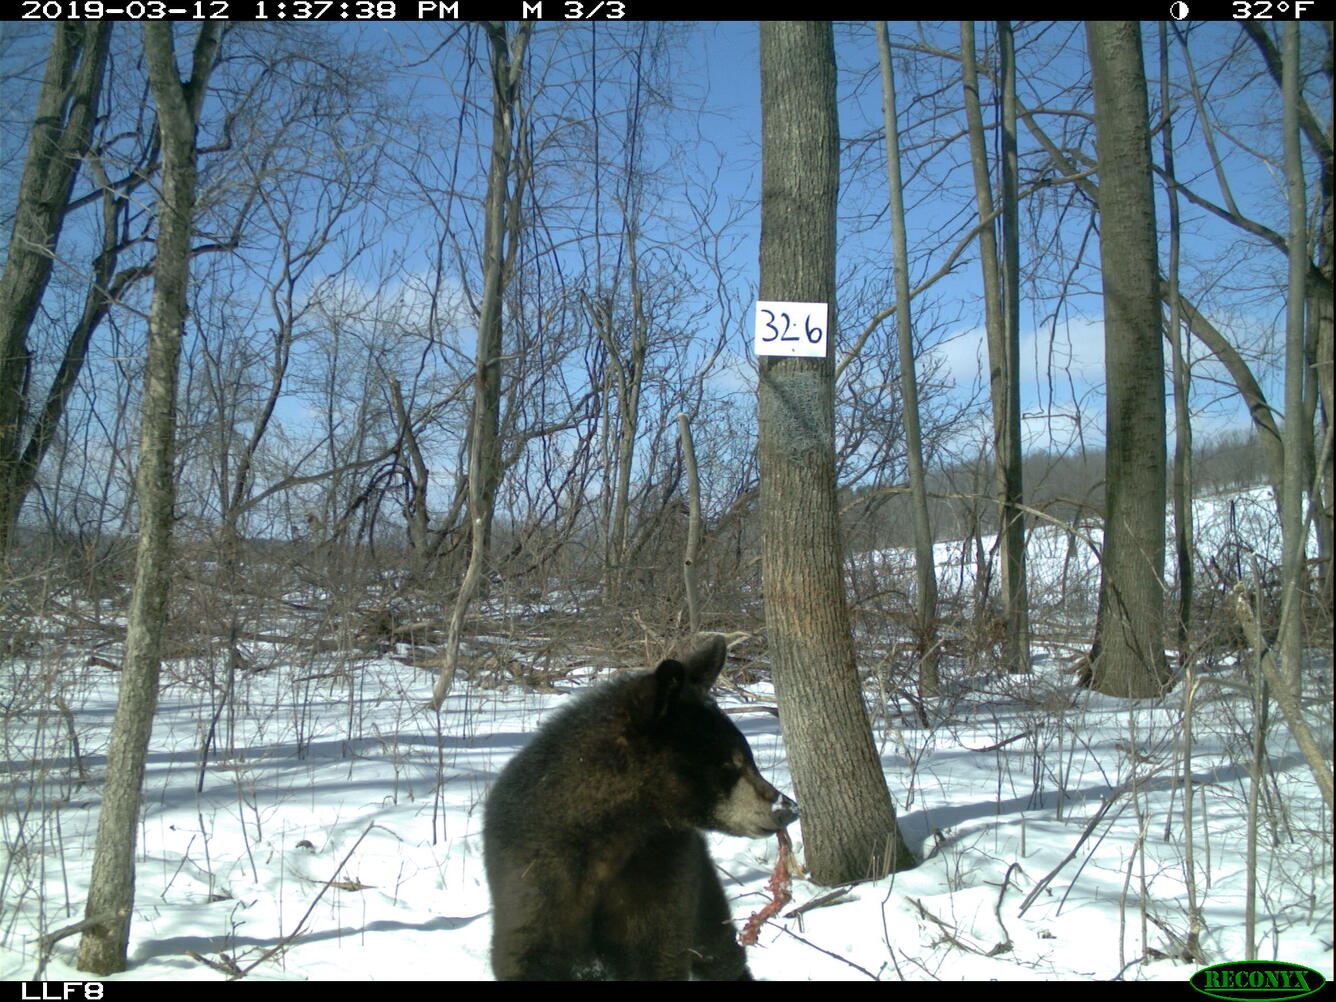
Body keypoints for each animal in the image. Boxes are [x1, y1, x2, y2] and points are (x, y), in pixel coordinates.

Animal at [483, 634, 798, 981]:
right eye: (727, 764)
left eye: (747, 757)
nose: (788, 808)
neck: (612, 838)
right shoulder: (539, 880)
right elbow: (529, 952)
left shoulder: (661, 873)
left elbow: (659, 953)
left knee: (718, 951)